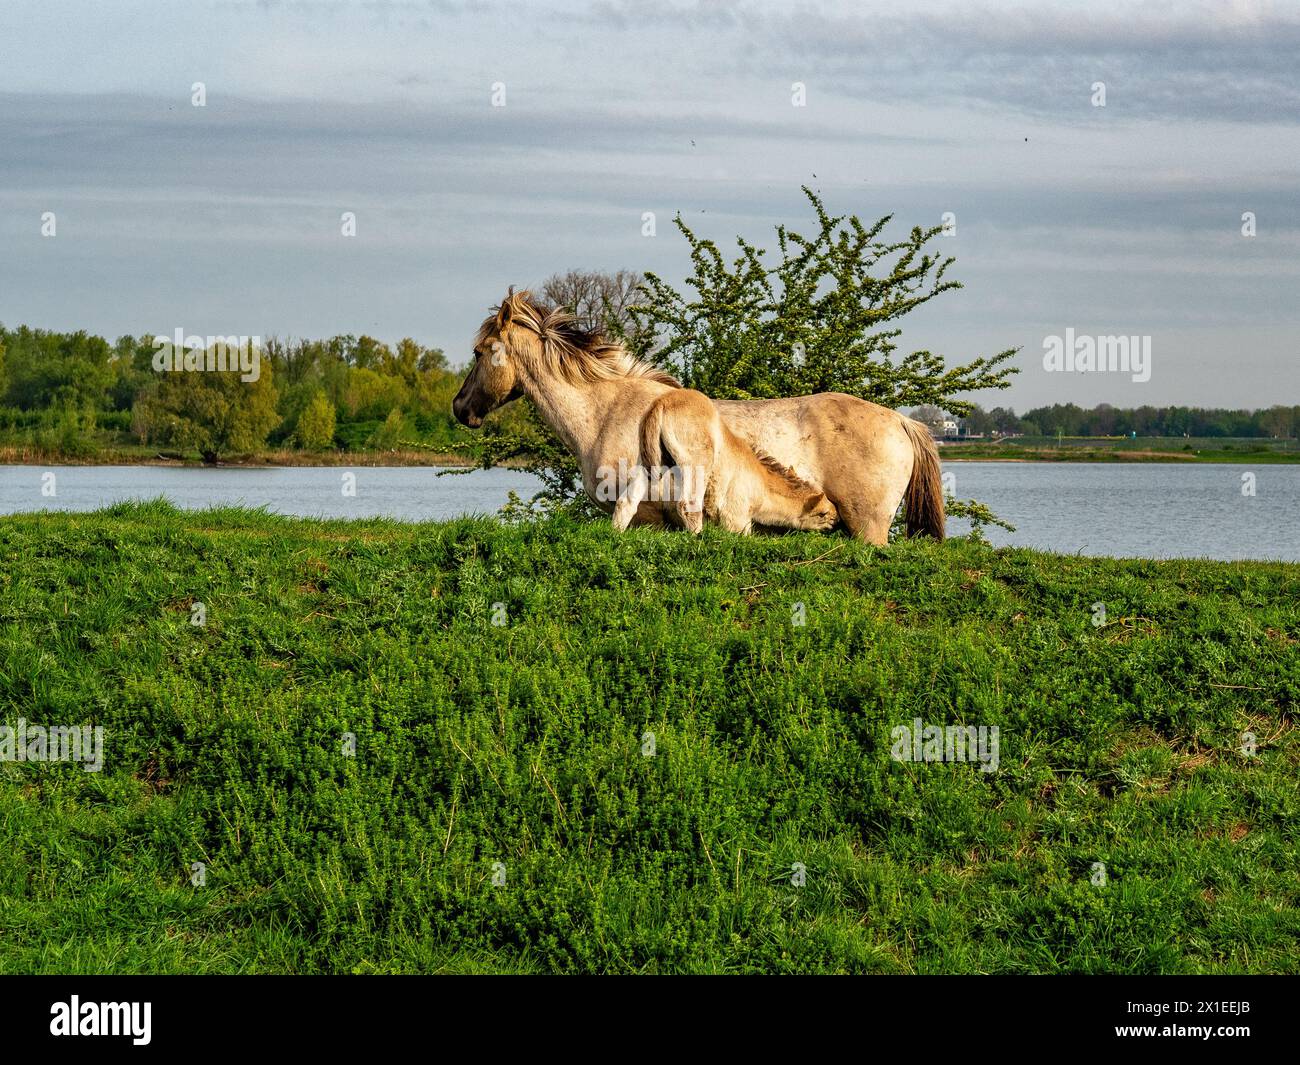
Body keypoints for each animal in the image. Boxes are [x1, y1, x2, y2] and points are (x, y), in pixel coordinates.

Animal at [449, 289, 946, 546]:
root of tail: (902, 422)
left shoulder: (647, 516)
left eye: (478, 352)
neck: (607, 409)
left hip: (870, 529)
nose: (459, 408)